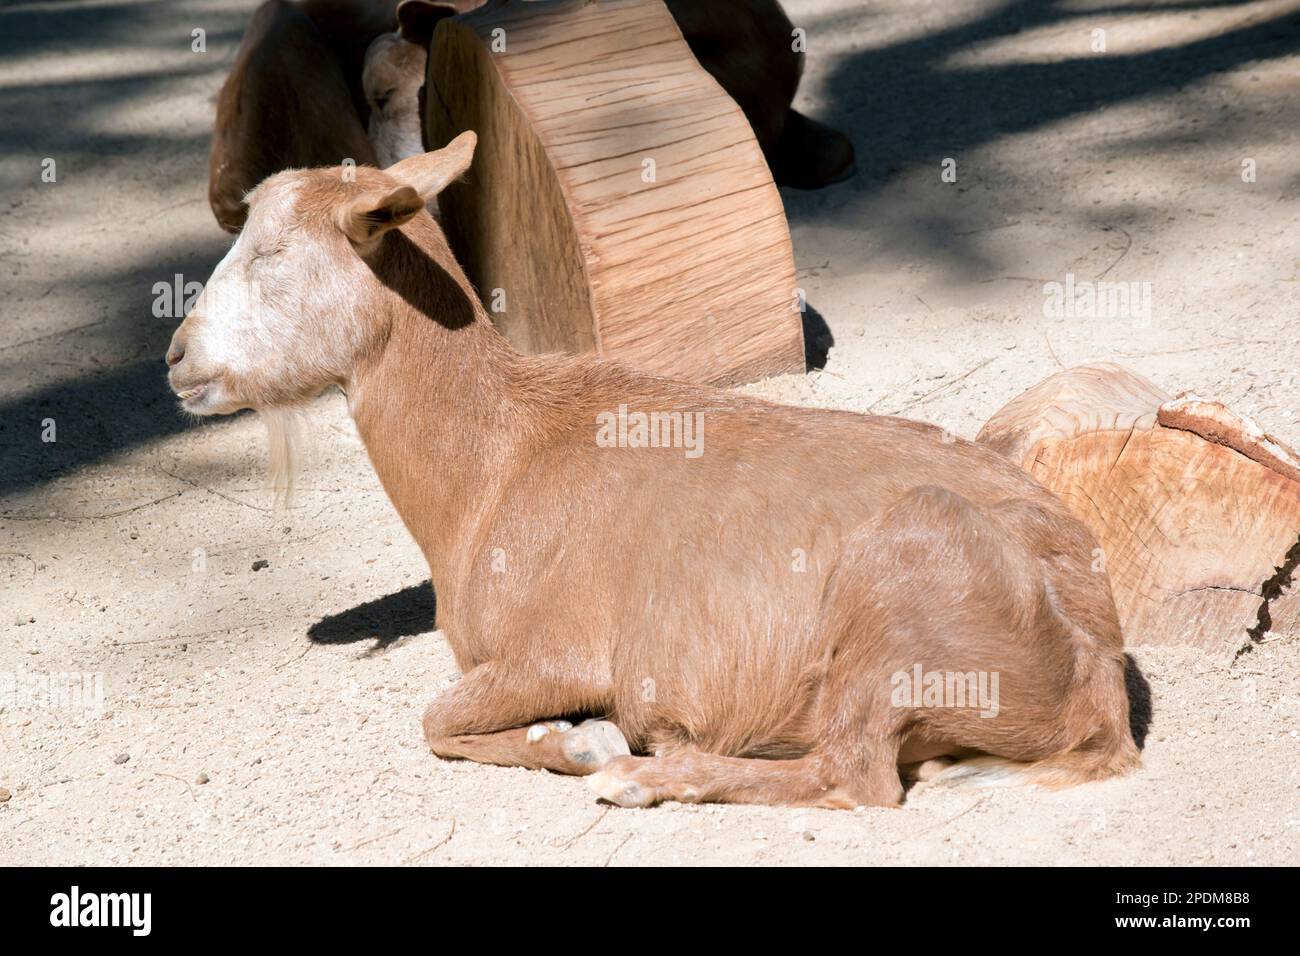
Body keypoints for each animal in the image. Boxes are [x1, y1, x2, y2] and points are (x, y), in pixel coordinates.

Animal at [166, 135, 1140, 808]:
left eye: (273, 254)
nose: (176, 357)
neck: (495, 463)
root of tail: (1096, 676)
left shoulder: (557, 652)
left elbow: (437, 720)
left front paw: (585, 745)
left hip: (898, 592)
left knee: (853, 776)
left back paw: (650, 774)